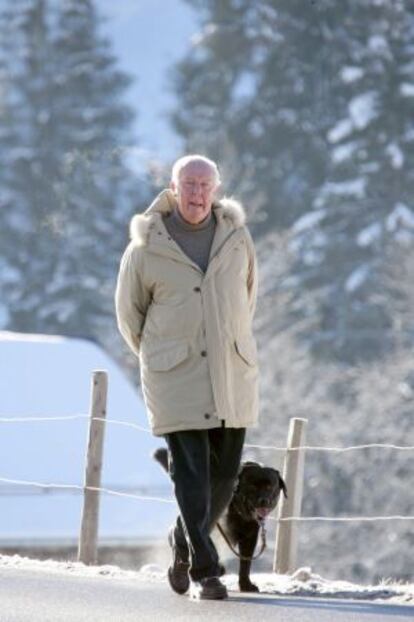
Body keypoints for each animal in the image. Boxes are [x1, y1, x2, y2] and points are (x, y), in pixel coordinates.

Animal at [154, 448, 286, 596]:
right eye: (252, 486)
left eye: (270, 487)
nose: (264, 501)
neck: (236, 509)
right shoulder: (213, 527)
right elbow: (208, 545)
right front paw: (215, 569)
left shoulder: (250, 536)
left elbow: (245, 563)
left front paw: (245, 584)